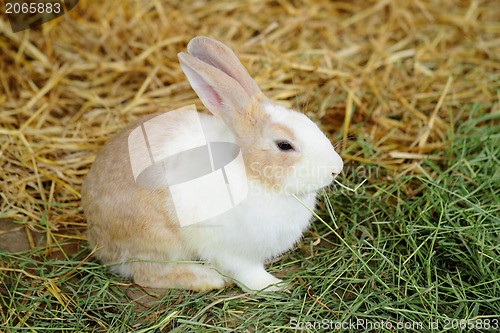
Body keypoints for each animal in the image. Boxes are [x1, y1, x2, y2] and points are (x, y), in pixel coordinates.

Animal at [82, 36, 344, 290]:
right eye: (284, 145)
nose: (336, 168)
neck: (253, 174)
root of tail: (97, 239)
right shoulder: (233, 252)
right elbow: (249, 274)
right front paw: (273, 286)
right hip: (158, 240)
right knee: (147, 275)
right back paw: (208, 279)